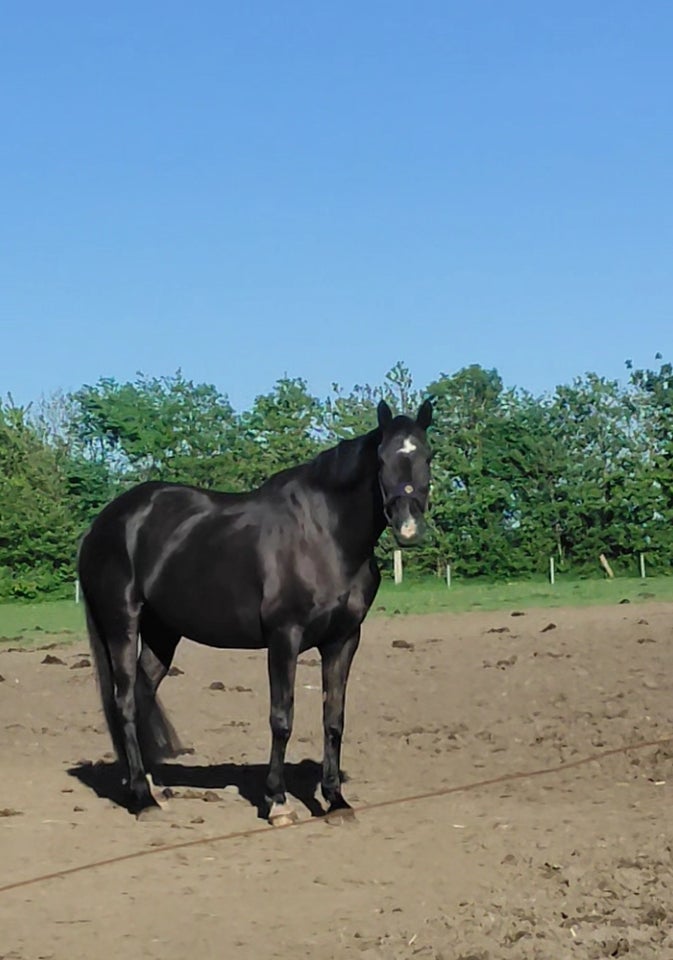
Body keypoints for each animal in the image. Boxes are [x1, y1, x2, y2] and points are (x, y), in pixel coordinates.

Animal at [76, 398, 434, 824]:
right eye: (381, 459)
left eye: (427, 456)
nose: (409, 527)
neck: (325, 536)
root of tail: (103, 523)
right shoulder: (284, 637)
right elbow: (282, 719)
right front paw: (277, 802)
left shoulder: (343, 640)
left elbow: (334, 719)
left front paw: (335, 800)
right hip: (122, 623)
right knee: (126, 701)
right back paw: (142, 798)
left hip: (163, 632)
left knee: (144, 691)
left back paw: (150, 784)